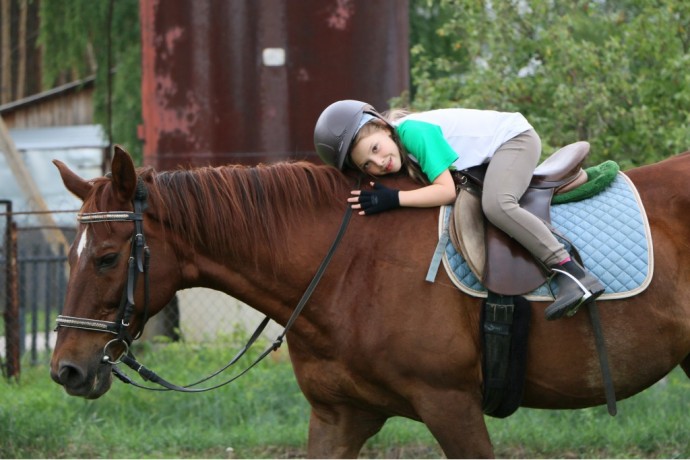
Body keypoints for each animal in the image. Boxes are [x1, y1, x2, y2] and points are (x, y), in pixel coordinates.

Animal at [51, 146, 688, 456]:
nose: (66, 370)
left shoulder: (451, 406)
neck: (350, 266)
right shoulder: (340, 416)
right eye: (71, 257)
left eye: (105, 257)